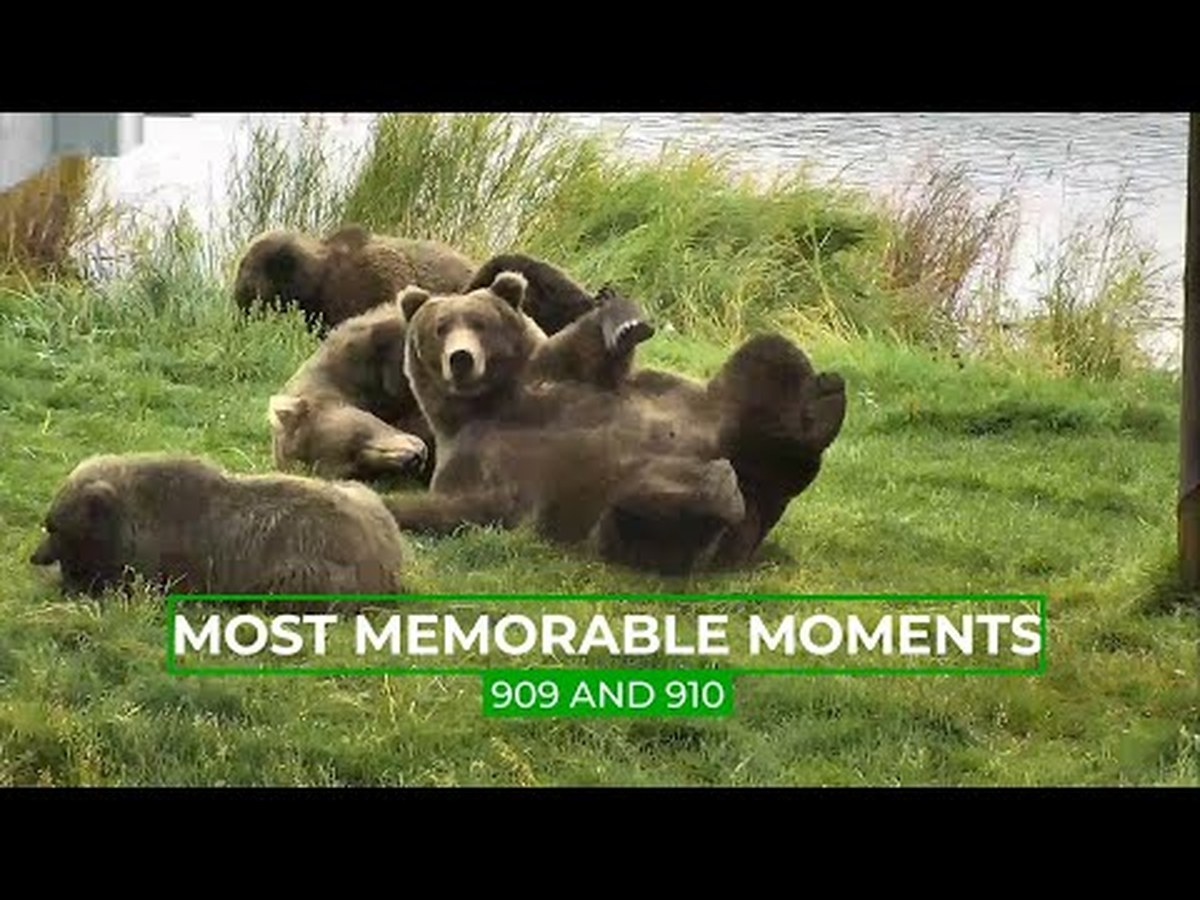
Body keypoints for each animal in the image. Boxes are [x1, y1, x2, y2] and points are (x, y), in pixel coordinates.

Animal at [384, 270, 846, 574]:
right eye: (440, 328)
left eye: (479, 323)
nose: (461, 359)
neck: (488, 405)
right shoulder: (470, 463)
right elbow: (462, 506)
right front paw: (396, 508)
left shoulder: (555, 378)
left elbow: (586, 345)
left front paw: (623, 319)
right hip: (626, 524)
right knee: (651, 516)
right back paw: (721, 485)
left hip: (719, 406)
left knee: (769, 355)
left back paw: (826, 395)